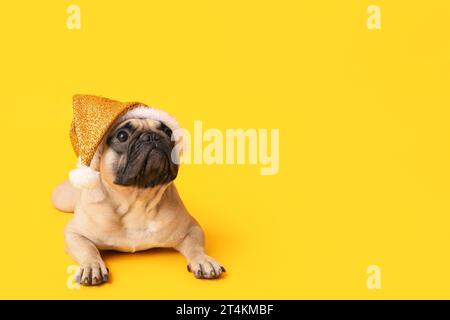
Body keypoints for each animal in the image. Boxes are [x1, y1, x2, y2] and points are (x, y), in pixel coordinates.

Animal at [52, 117, 225, 284]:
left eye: (168, 132)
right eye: (122, 136)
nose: (152, 136)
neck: (138, 199)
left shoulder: (192, 229)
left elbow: (195, 247)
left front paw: (203, 261)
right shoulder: (75, 234)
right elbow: (88, 250)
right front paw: (92, 266)